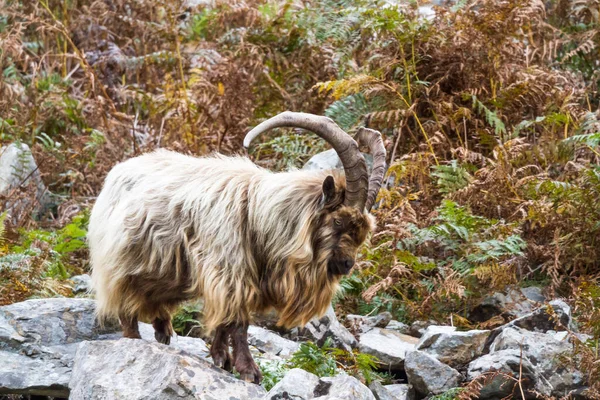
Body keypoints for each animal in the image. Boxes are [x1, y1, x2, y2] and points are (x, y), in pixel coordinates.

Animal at [89, 111, 390, 382]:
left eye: (364, 230)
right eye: (338, 220)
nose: (347, 264)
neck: (256, 215)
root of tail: (114, 175)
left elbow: (227, 322)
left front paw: (222, 359)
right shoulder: (230, 271)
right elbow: (239, 323)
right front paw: (249, 371)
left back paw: (163, 334)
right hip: (121, 261)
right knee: (124, 303)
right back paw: (132, 339)